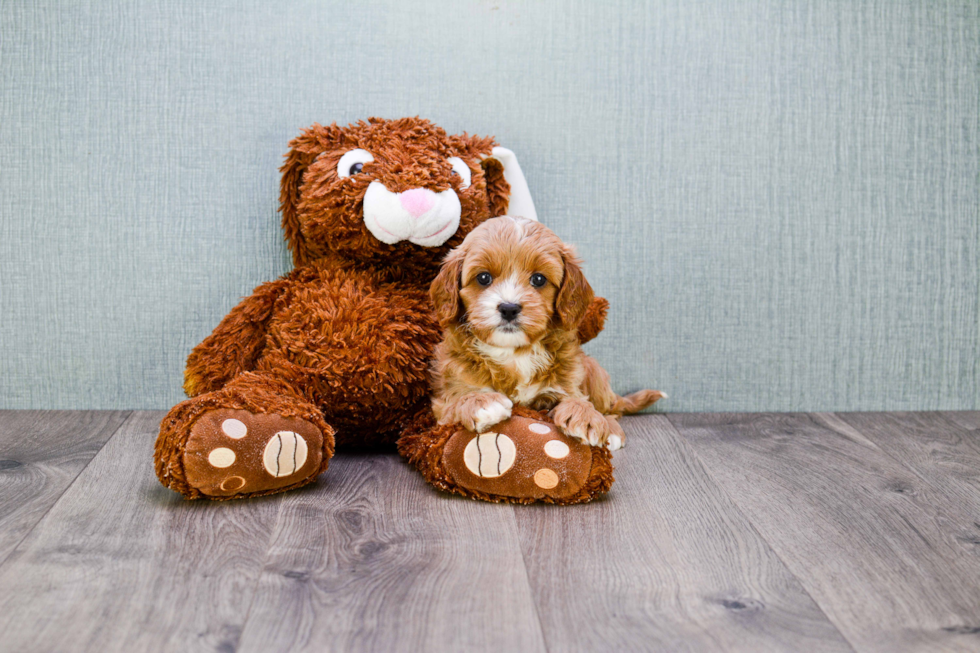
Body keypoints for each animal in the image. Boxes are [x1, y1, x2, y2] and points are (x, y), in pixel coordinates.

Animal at [430, 214, 668, 448]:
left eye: (538, 279)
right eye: (483, 278)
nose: (509, 308)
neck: (514, 351)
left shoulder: (567, 381)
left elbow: (577, 398)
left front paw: (584, 415)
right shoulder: (444, 399)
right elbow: (456, 400)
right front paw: (480, 401)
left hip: (593, 370)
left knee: (610, 408)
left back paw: (611, 429)